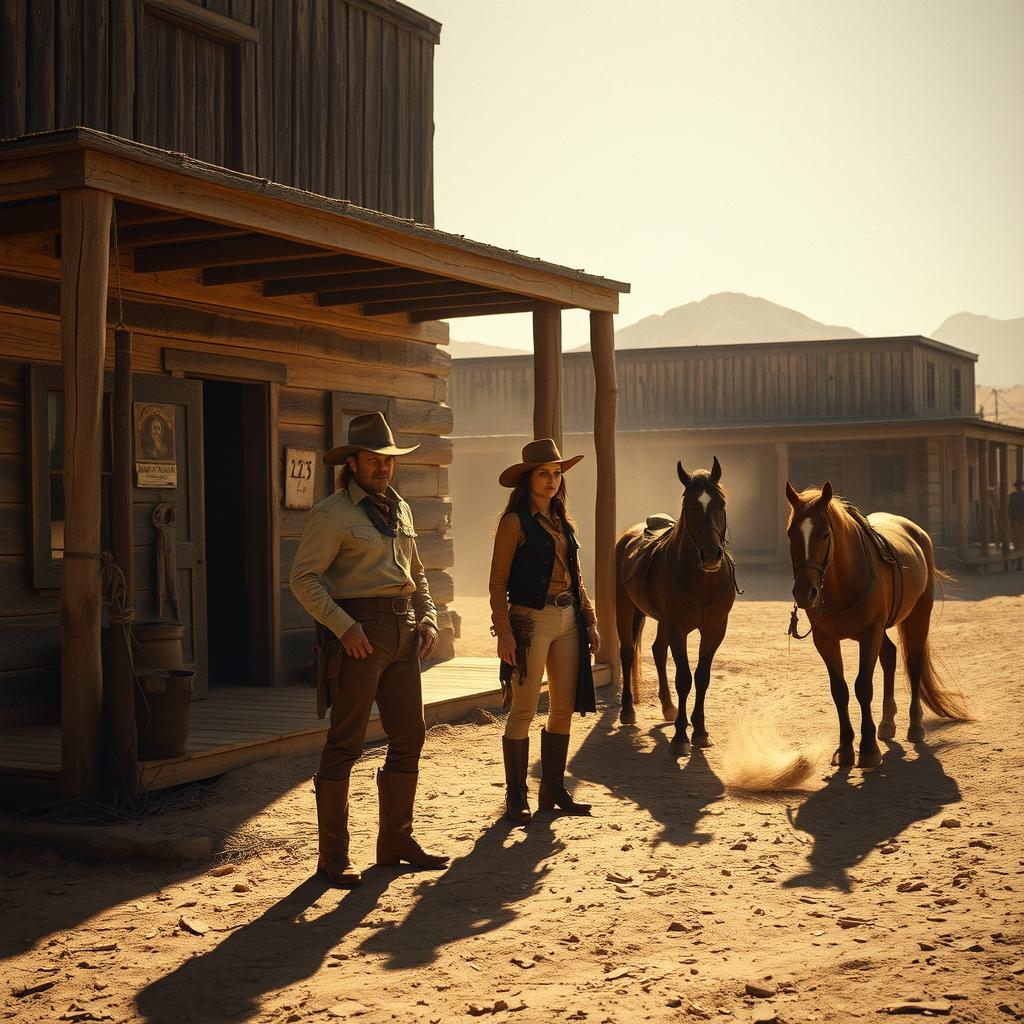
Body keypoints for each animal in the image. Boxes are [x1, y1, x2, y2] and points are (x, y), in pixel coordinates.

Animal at [614, 456, 737, 753]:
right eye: (688, 507)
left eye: (721, 504)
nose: (710, 555)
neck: (702, 580)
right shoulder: (678, 628)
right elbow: (683, 678)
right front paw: (681, 736)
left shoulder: (715, 630)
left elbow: (702, 677)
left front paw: (700, 730)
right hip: (625, 609)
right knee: (627, 652)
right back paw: (628, 711)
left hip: (662, 621)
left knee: (658, 651)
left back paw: (668, 707)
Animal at [782, 479, 966, 770]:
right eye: (791, 533)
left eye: (825, 534)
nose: (804, 593)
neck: (843, 582)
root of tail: (917, 533)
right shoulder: (826, 639)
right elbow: (840, 690)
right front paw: (845, 749)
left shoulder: (869, 634)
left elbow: (862, 687)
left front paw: (868, 749)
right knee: (890, 655)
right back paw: (887, 723)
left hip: (918, 616)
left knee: (914, 664)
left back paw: (915, 726)